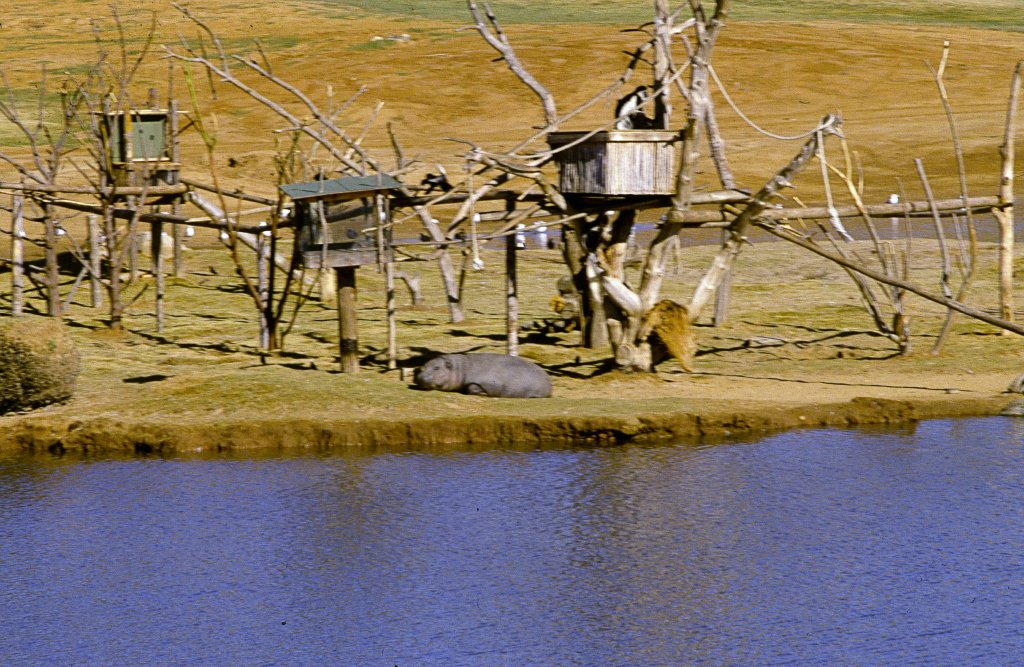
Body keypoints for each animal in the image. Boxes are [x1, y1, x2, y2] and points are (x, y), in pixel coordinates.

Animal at [414, 353, 552, 398]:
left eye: (436, 367)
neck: (460, 368)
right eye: (422, 367)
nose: (421, 377)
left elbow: (471, 388)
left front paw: (484, 393)